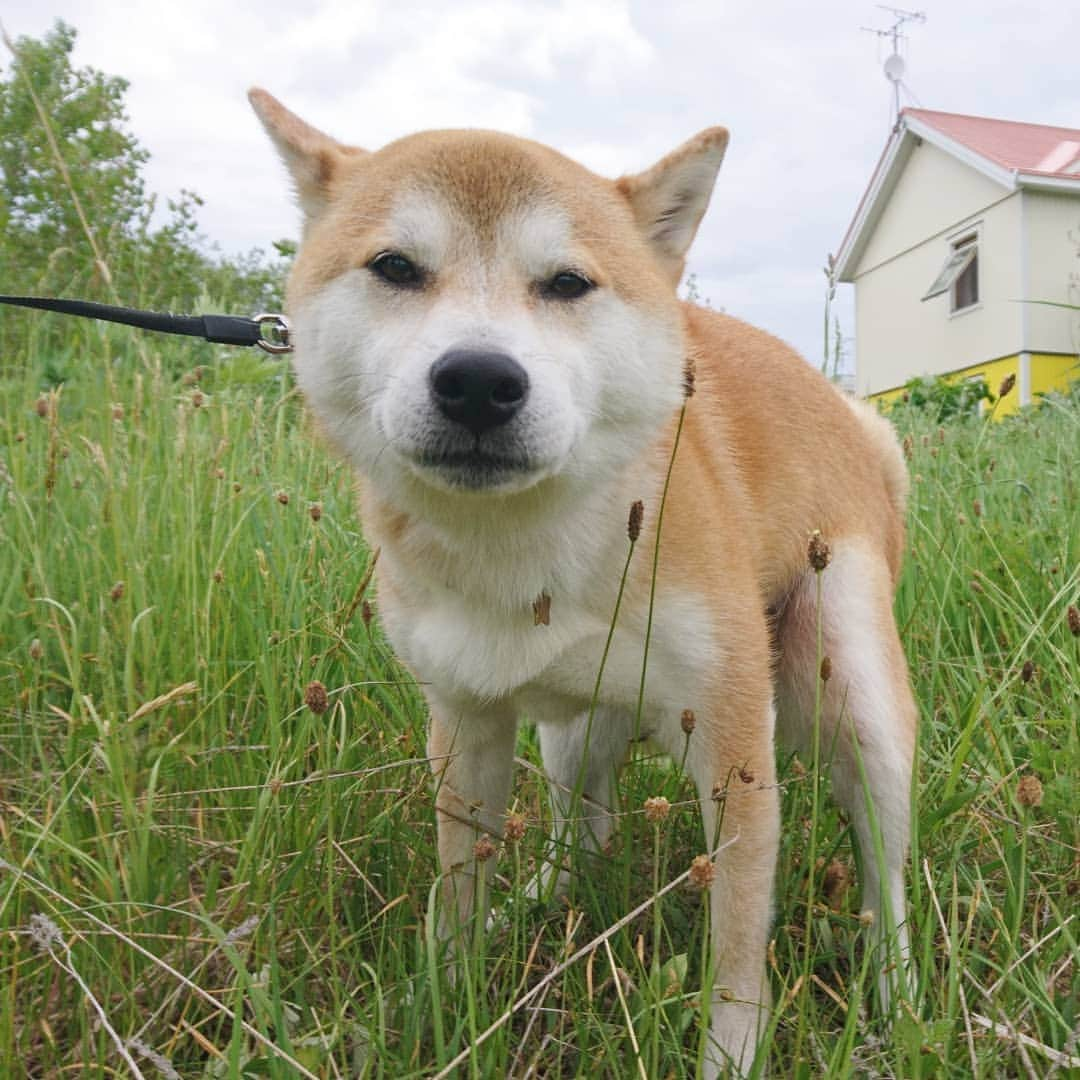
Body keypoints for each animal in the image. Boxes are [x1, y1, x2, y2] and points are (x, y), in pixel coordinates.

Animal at [248, 88, 915, 1075]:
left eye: (566, 283)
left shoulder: (732, 736)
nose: (477, 379)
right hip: (572, 731)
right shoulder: (465, 725)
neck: (522, 549)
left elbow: (737, 945)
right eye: (395, 267)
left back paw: (902, 999)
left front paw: (730, 1053)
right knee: (581, 838)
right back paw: (530, 905)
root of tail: (847, 410)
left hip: (857, 697)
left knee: (888, 882)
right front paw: (437, 1006)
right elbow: (457, 890)